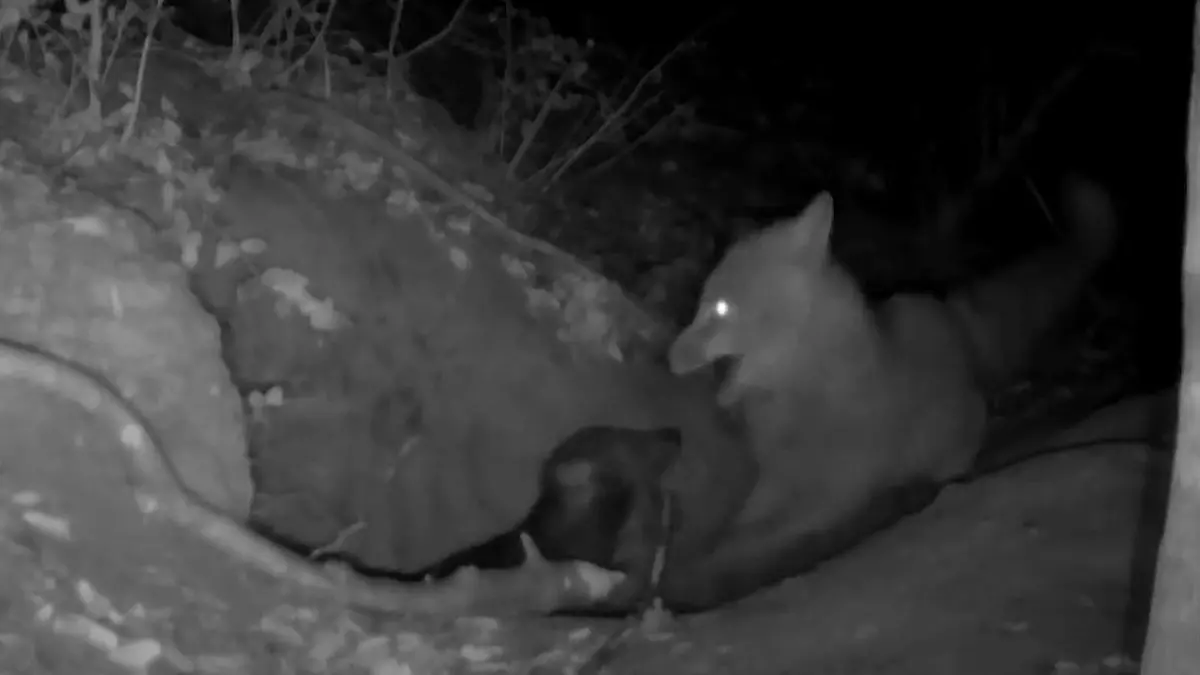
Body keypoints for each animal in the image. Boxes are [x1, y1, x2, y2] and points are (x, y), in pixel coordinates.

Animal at [654, 173, 1120, 612]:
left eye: (721, 308)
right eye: (704, 304)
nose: (671, 355)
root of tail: (953, 322)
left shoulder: (828, 492)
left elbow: (747, 539)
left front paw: (693, 576)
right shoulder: (774, 480)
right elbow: (734, 527)